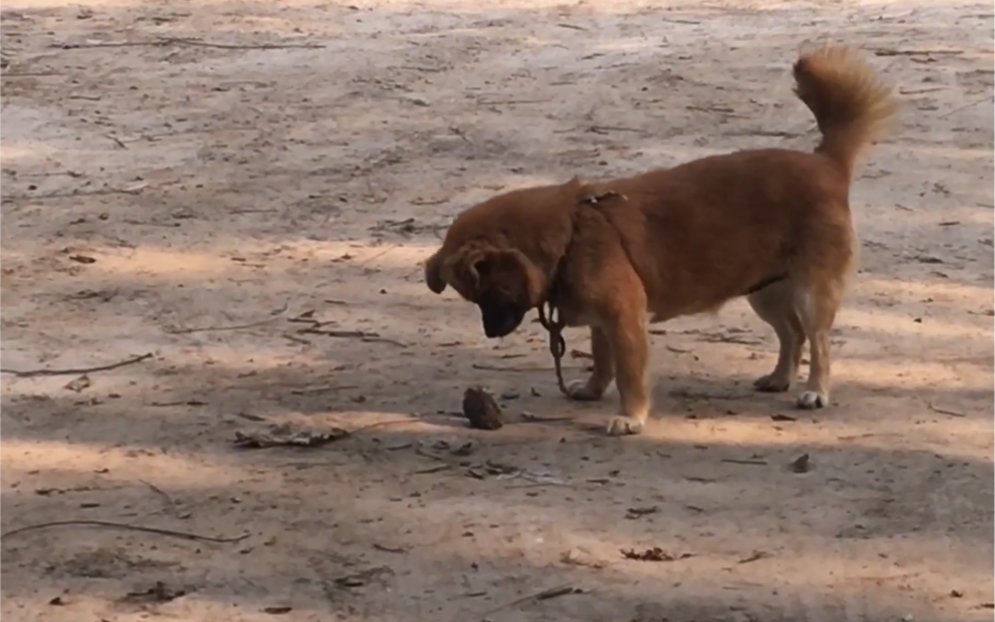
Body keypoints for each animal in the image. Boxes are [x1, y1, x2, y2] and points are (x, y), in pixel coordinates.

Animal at [424, 47, 900, 438]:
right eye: (474, 297)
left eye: (487, 291)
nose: (489, 332)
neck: (570, 234)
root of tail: (827, 164)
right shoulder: (602, 322)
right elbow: (601, 359)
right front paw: (594, 389)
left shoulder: (624, 318)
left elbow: (629, 373)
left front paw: (630, 416)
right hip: (764, 292)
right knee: (792, 335)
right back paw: (780, 378)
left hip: (809, 294)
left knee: (818, 341)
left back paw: (815, 390)